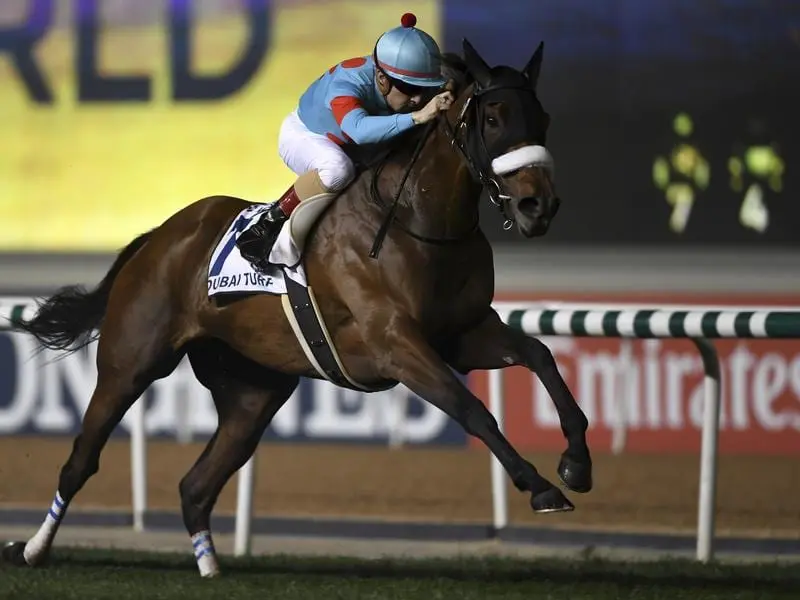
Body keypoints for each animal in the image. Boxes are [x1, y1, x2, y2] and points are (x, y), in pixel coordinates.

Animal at [2, 38, 592, 577]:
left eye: (541, 118)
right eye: (491, 118)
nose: (538, 205)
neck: (418, 222)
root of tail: (159, 237)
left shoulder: (464, 333)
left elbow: (540, 356)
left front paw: (576, 465)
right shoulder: (396, 344)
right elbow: (472, 409)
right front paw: (539, 486)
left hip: (253, 392)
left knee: (196, 485)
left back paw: (210, 567)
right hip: (130, 364)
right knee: (81, 462)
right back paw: (33, 550)